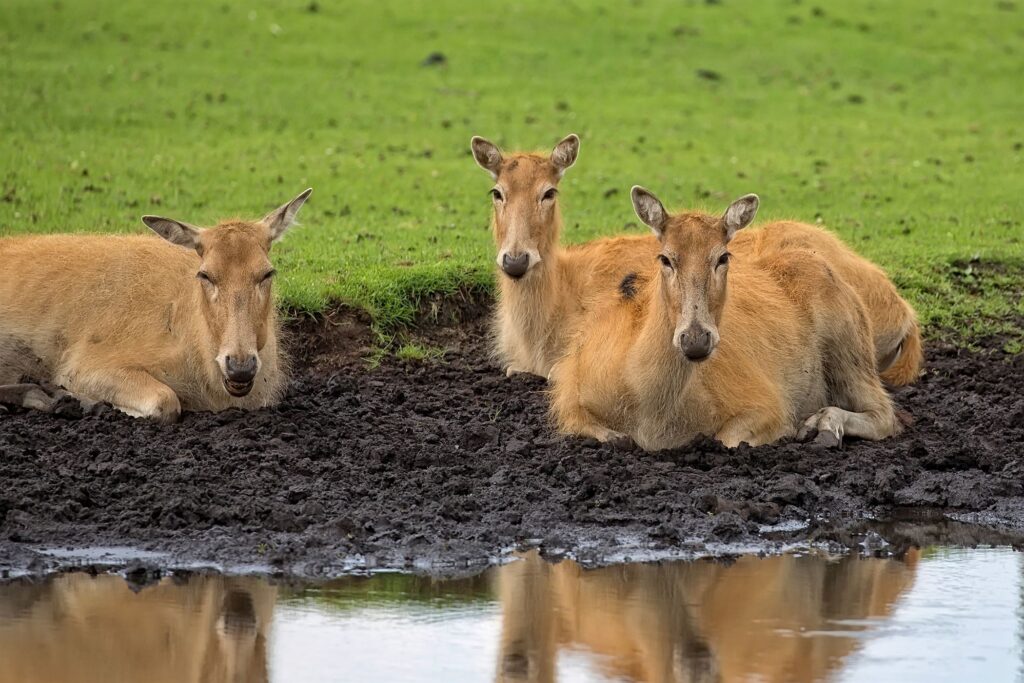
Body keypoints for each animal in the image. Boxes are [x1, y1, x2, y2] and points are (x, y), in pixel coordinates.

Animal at [0, 188, 311, 421]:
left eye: (267, 273)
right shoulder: (82, 362)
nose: (240, 366)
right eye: (205, 274)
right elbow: (165, 401)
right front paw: (79, 398)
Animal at [552, 188, 905, 454]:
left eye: (723, 256)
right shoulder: (569, 396)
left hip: (852, 347)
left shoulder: (767, 404)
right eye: (665, 258)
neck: (650, 415)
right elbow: (599, 432)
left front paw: (797, 429)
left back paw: (822, 426)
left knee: (886, 413)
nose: (695, 339)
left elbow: (729, 439)